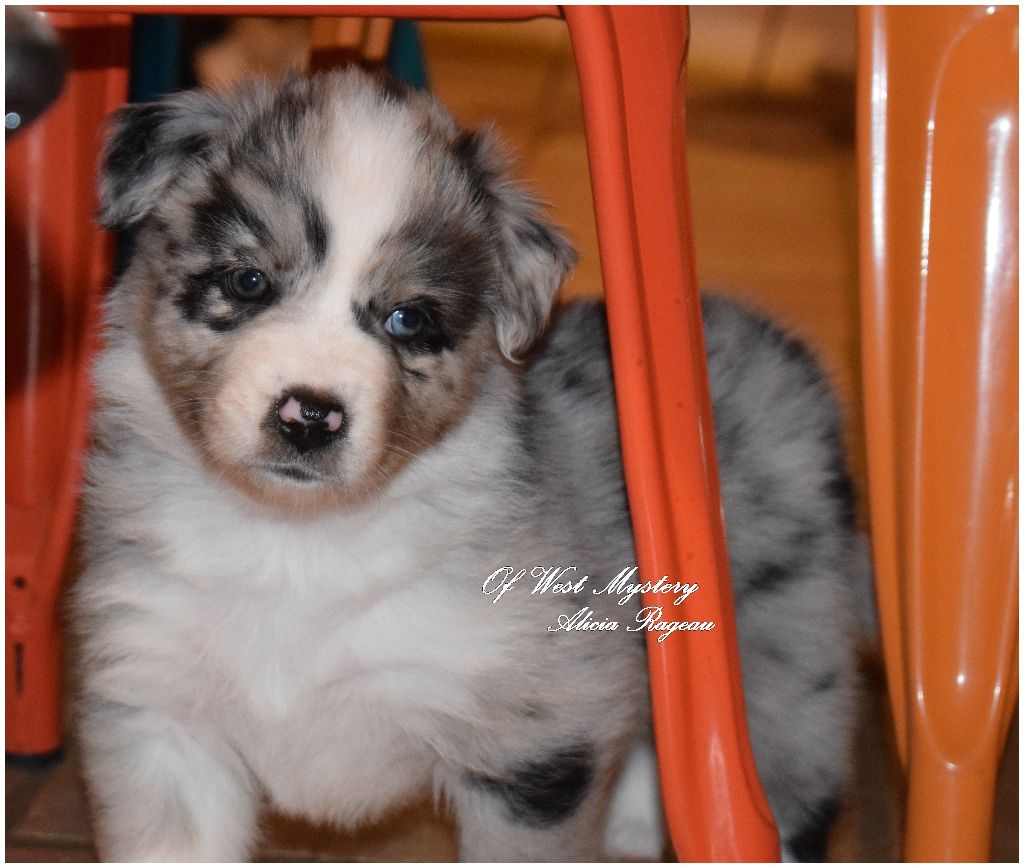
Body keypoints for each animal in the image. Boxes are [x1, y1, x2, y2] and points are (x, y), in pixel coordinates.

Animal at [74, 69, 867, 861]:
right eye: (247, 282)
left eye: (409, 319)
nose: (310, 416)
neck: (296, 542)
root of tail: (786, 351)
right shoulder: (159, 701)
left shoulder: (538, 735)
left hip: (780, 661)